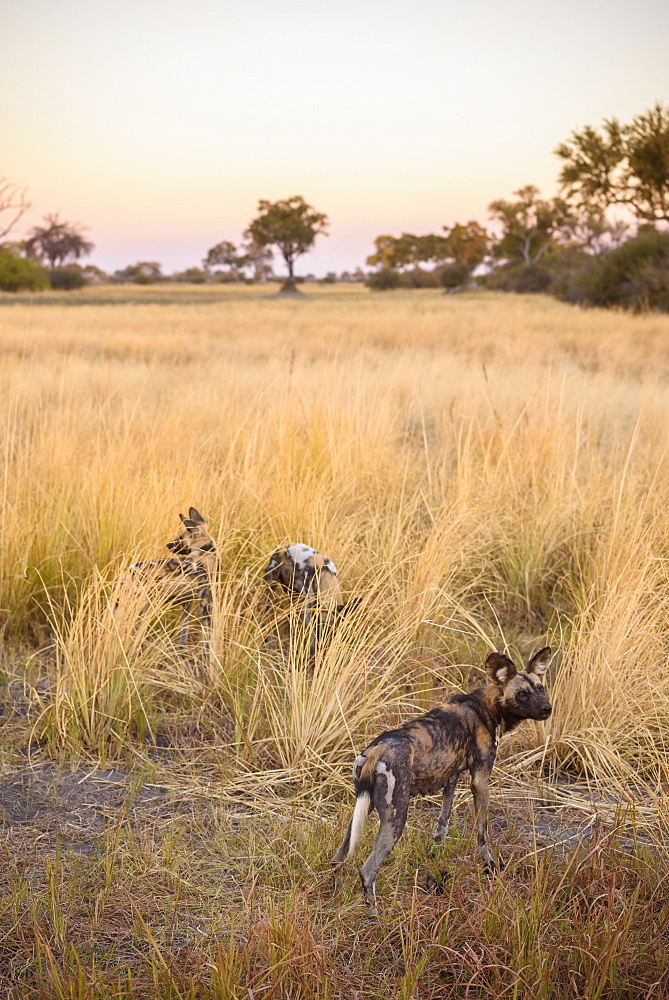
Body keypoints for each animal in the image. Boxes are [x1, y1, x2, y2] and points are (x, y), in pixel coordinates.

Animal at [116, 508, 217, 648]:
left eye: (180, 537)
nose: (168, 545)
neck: (205, 549)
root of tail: (130, 570)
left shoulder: (187, 603)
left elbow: (184, 631)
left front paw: (181, 649)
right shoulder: (205, 604)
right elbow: (207, 641)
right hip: (141, 609)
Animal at [330, 644, 552, 912]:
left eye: (541, 688)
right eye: (521, 694)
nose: (547, 708)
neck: (488, 707)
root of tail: (376, 750)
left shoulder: (452, 777)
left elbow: (442, 826)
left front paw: (435, 858)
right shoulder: (480, 779)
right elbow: (483, 834)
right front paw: (490, 868)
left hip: (362, 809)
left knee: (338, 858)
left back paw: (337, 895)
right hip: (396, 816)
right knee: (367, 870)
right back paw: (377, 914)